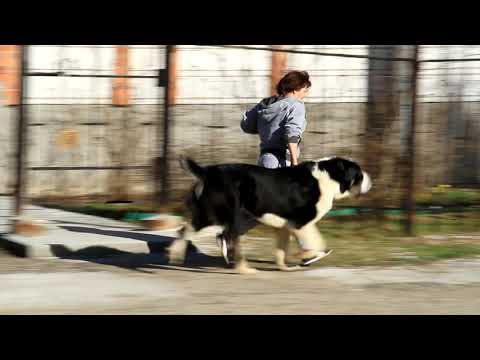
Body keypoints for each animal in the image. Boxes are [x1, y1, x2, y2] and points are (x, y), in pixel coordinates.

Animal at [169, 156, 372, 274]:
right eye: (359, 174)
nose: (371, 181)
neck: (330, 177)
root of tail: (207, 171)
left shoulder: (286, 226)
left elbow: (281, 249)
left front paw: (285, 267)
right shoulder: (301, 222)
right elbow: (316, 241)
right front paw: (309, 255)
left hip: (232, 215)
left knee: (206, 232)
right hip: (228, 214)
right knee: (221, 234)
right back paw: (243, 269)